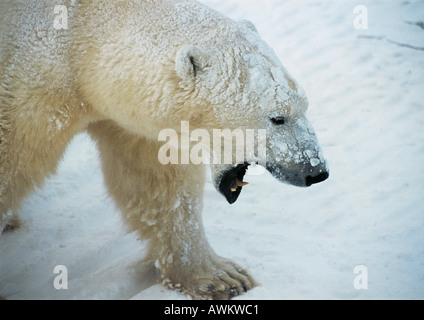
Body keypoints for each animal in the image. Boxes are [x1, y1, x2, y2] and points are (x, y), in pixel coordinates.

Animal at [0, 0, 328, 300]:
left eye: (305, 105)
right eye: (277, 117)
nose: (316, 171)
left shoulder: (133, 118)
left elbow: (156, 182)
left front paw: (223, 277)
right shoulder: (28, 90)